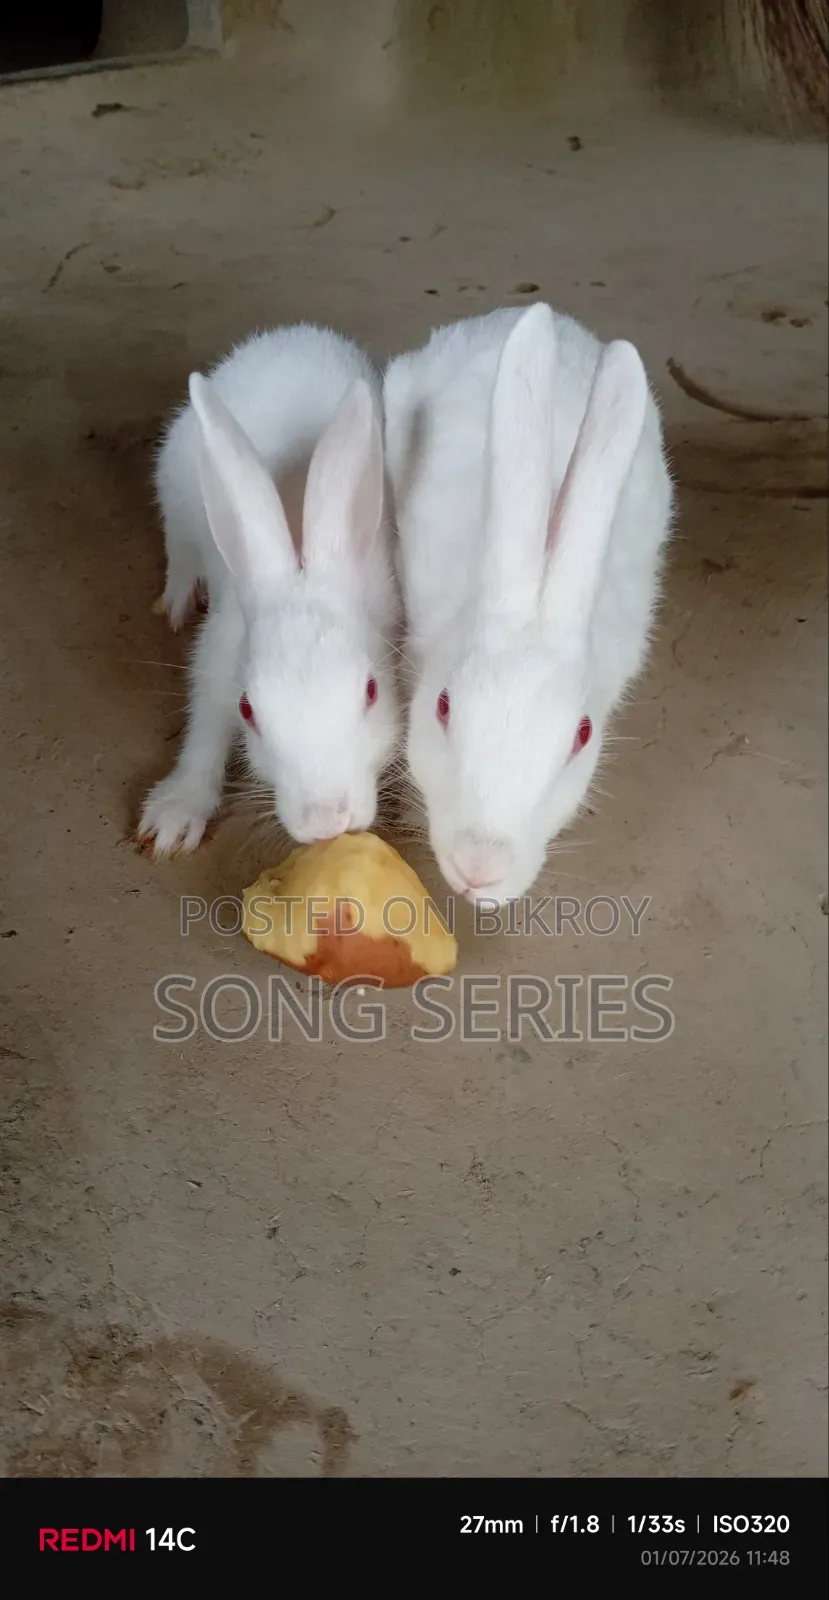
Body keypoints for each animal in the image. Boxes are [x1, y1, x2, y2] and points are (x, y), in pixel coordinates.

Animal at [138, 324, 400, 858]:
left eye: (371, 691)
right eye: (249, 710)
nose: (327, 821)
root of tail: (288, 333)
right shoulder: (218, 659)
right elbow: (204, 732)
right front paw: (174, 818)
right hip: (173, 482)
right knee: (178, 546)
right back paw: (178, 598)